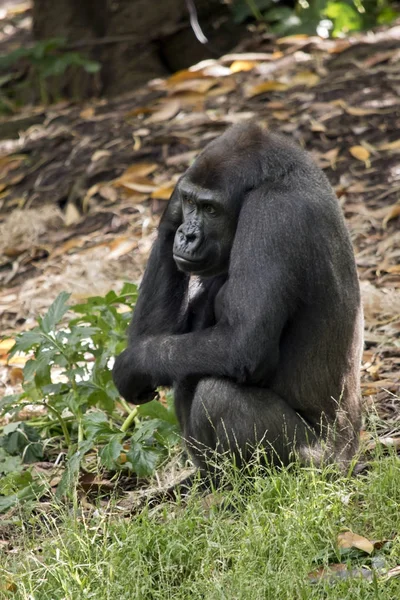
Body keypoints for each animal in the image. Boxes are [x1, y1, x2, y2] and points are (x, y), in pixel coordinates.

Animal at [111, 122, 362, 476]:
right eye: (190, 202)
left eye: (211, 209)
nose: (187, 235)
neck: (274, 177)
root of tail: (350, 456)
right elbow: (164, 336)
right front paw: (171, 212)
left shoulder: (272, 215)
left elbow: (243, 344)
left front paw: (133, 363)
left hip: (317, 465)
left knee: (218, 395)